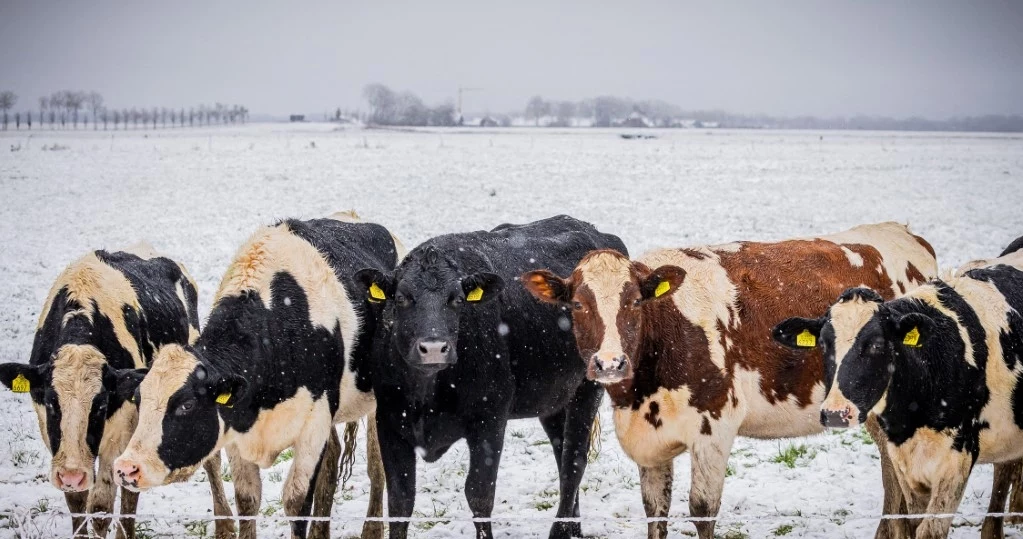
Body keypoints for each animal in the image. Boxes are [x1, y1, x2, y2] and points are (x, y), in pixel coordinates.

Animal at [0, 245, 233, 539]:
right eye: (52, 402)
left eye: (100, 404)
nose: (72, 475)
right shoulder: (54, 438)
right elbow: (77, 502)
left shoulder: (120, 428)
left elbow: (100, 508)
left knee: (208, 462)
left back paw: (225, 525)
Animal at [109, 212, 398, 535]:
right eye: (139, 400)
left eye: (187, 404)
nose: (126, 468)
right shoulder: (236, 430)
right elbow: (247, 500)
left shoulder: (314, 425)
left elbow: (297, 501)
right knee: (333, 460)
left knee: (376, 465)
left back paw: (372, 529)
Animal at [356, 214, 626, 539]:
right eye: (402, 298)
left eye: (457, 300)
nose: (433, 347)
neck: (427, 394)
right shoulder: (390, 421)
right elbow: (400, 500)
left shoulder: (490, 419)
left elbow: (479, 494)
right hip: (554, 399)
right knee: (562, 454)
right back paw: (574, 527)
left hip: (589, 387)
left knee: (574, 460)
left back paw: (560, 530)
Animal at [523, 221, 937, 535]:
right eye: (578, 304)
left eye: (634, 302)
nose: (610, 364)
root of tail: (903, 232)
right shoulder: (650, 441)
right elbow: (655, 512)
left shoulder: (714, 427)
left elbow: (702, 510)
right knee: (891, 471)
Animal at [773, 241, 1023, 539]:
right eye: (823, 344)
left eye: (877, 344)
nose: (835, 413)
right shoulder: (905, 462)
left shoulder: (957, 460)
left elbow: (930, 530)